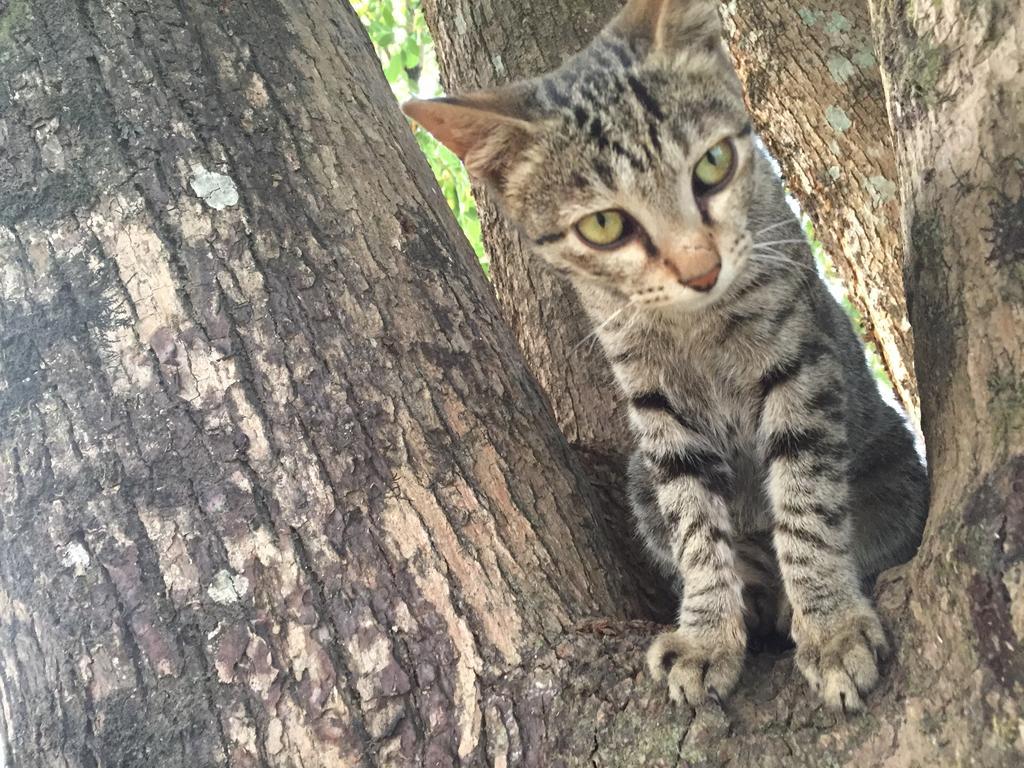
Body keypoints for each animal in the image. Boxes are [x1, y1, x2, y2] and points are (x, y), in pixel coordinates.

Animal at [403, 0, 933, 712]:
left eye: (713, 164)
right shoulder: (655, 404)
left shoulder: (799, 365)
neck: (695, 326)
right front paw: (709, 634)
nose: (701, 269)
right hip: (638, 479)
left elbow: (807, 502)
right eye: (604, 226)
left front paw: (830, 625)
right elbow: (694, 529)